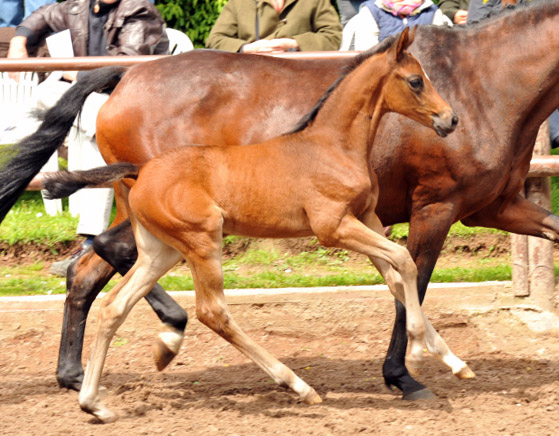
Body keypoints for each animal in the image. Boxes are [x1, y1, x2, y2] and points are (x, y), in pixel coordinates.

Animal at [46, 28, 464, 422]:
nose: (451, 119)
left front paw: (453, 361)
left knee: (114, 305)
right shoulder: (334, 227)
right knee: (212, 311)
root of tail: (141, 170)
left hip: (159, 251)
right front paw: (417, 349)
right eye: (416, 80)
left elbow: (396, 277)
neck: (332, 145)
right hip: (202, 241)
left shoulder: (367, 218)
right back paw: (296, 384)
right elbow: (405, 262)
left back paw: (94, 403)